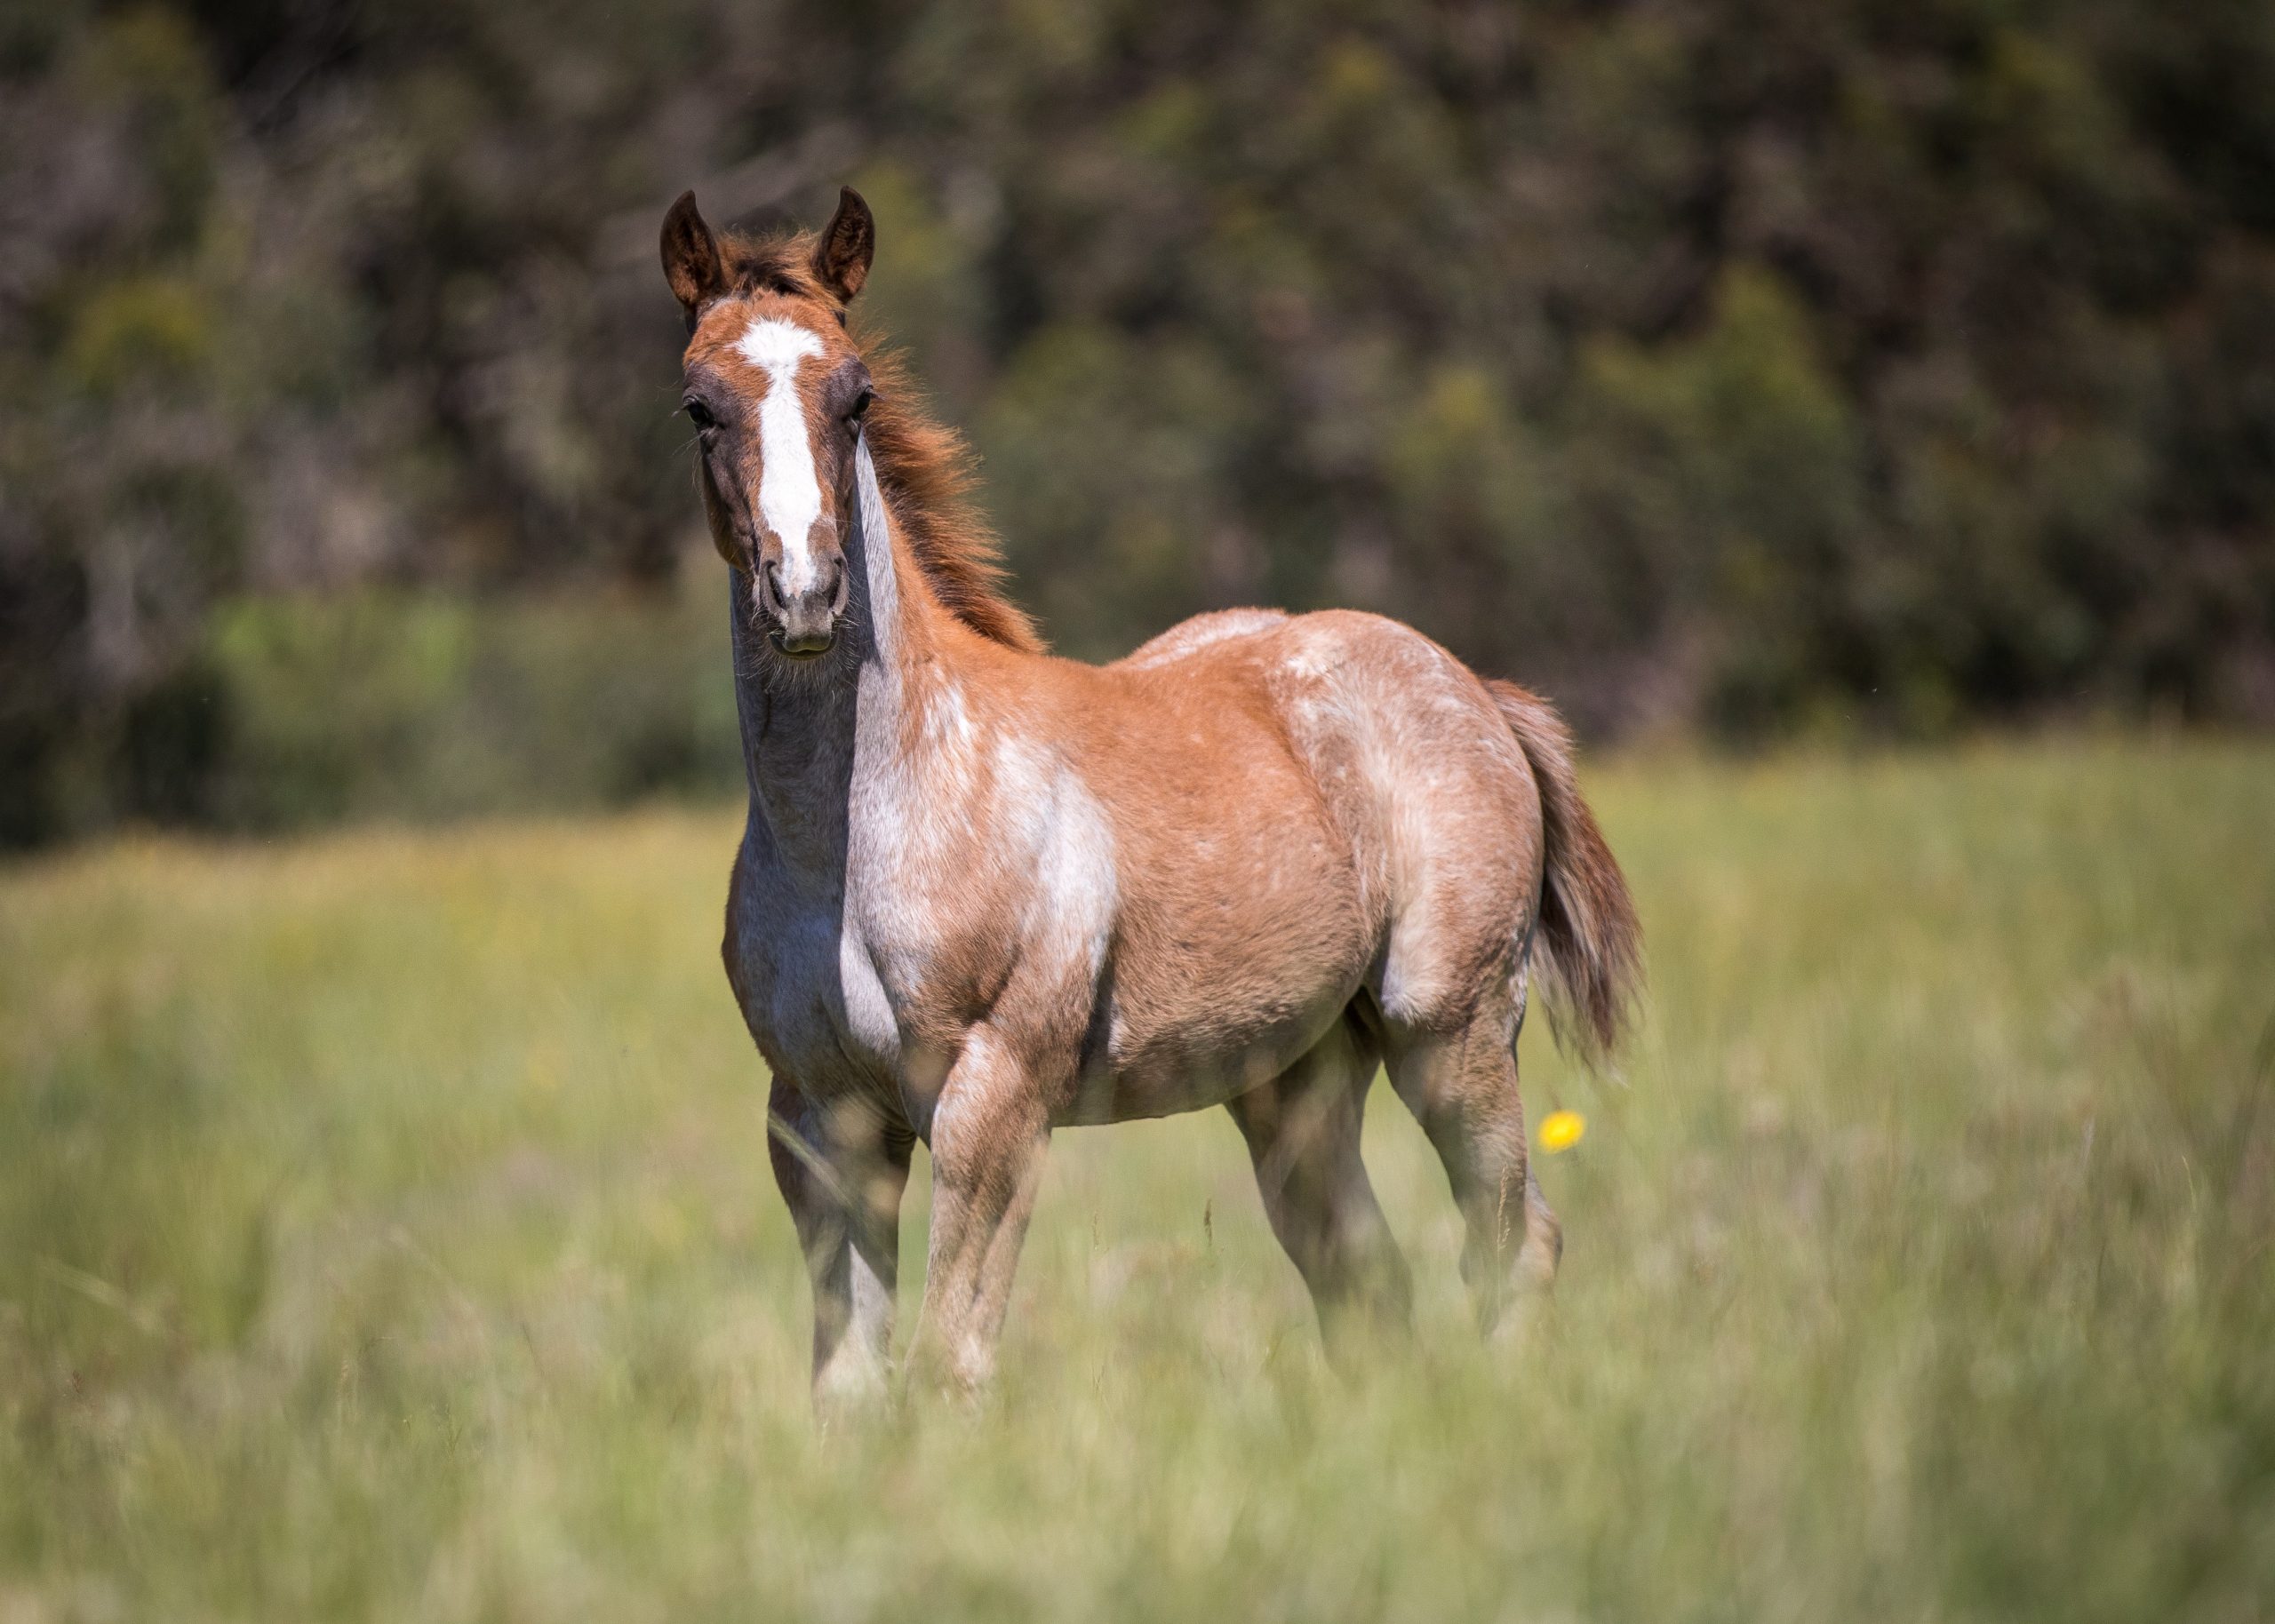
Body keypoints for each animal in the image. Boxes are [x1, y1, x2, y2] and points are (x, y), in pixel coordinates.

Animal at [659, 183, 1638, 1401]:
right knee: (1365, 1276)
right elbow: (850, 1388)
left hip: (1450, 1029)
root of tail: (1475, 688)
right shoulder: (818, 1121)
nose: (805, 592)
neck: (855, 836)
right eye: (699, 406)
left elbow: (950, 1362)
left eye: (857, 396)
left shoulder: (993, 1101)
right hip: (1295, 1075)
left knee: (1510, 1241)